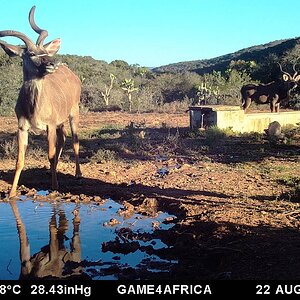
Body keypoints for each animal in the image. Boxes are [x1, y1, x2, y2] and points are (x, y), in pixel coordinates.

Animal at [0, 5, 82, 197]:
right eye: (31, 53)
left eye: (45, 51)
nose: (53, 63)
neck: (33, 108)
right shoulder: (22, 127)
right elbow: (19, 160)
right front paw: (11, 193)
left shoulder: (49, 126)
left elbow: (50, 155)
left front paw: (55, 186)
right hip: (60, 122)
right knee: (63, 138)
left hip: (73, 113)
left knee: (75, 141)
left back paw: (77, 174)